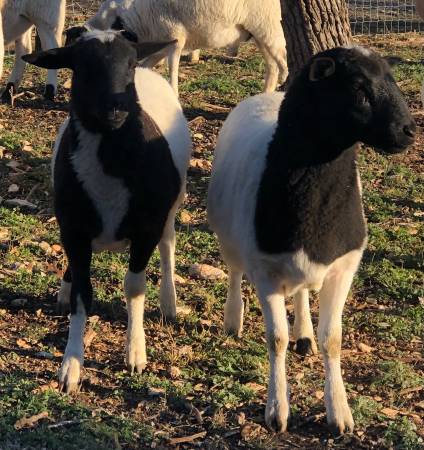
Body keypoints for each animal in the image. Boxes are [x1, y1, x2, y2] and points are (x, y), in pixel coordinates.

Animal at [23, 29, 192, 394]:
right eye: (82, 66)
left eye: (128, 64)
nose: (116, 108)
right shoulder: (74, 230)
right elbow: (83, 294)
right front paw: (70, 367)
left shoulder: (146, 229)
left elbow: (134, 288)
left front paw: (135, 354)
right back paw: (65, 287)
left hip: (171, 209)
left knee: (168, 247)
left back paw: (169, 303)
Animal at [207, 44, 416, 432]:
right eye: (358, 88)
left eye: (391, 79)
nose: (409, 131)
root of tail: (266, 95)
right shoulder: (265, 271)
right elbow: (276, 340)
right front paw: (277, 411)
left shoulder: (344, 267)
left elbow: (332, 340)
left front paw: (340, 413)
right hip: (230, 239)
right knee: (234, 273)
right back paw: (233, 320)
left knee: (302, 292)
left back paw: (304, 333)